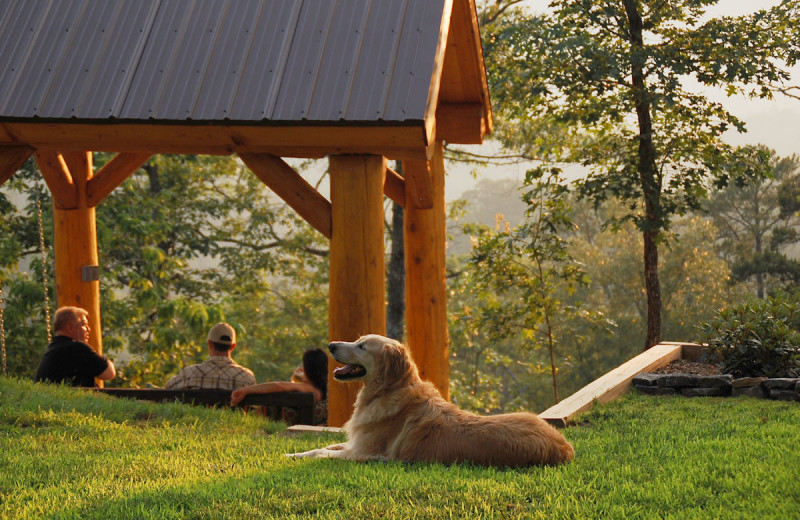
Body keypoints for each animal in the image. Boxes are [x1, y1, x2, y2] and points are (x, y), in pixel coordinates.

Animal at [288, 336, 576, 470]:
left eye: (361, 346)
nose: (331, 344)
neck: (388, 390)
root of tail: (564, 449)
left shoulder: (364, 453)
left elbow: (320, 453)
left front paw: (292, 455)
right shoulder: (354, 444)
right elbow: (327, 445)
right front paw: (296, 452)